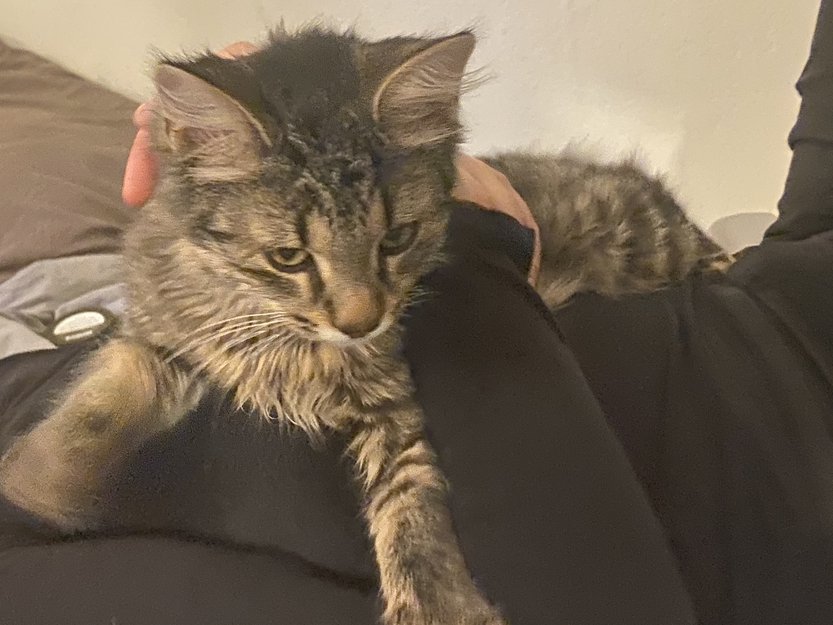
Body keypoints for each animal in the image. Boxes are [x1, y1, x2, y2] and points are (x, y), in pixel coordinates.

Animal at [0, 24, 728, 625]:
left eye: (396, 240)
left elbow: (412, 503)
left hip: (639, 236)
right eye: (289, 257)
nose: (361, 321)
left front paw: (442, 607)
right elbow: (106, 392)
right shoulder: (161, 338)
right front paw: (42, 476)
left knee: (688, 235)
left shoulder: (391, 398)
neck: (281, 335)